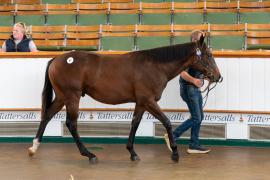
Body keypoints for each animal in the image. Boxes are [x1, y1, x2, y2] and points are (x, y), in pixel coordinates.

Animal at [28, 35, 221, 163]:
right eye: (209, 55)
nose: (218, 77)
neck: (155, 66)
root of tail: (57, 59)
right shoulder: (149, 100)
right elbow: (166, 121)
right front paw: (174, 153)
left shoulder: (141, 102)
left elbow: (135, 123)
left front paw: (132, 152)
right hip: (72, 97)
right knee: (71, 123)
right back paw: (89, 154)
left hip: (62, 97)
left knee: (47, 115)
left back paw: (34, 147)